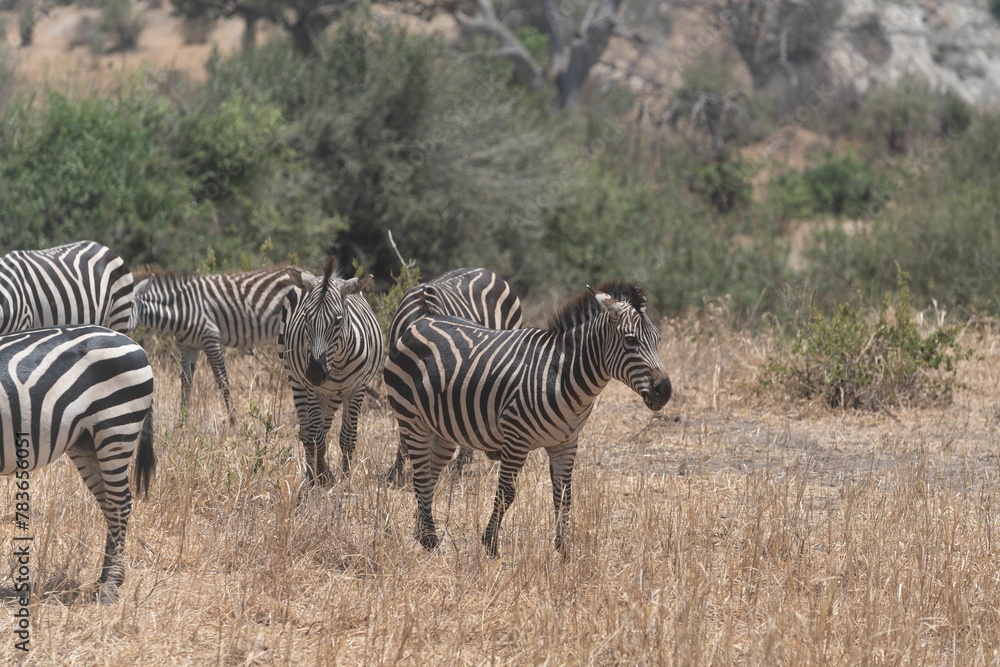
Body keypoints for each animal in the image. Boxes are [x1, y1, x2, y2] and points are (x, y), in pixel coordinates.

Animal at [0, 325, 155, 603]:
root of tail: (132, 341)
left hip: (116, 426)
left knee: (120, 503)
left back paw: (110, 587)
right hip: (85, 440)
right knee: (108, 504)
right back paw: (103, 580)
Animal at [131, 266, 302, 424]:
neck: (182, 309)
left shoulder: (211, 339)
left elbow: (222, 380)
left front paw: (234, 422)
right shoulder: (188, 346)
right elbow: (186, 382)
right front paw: (181, 423)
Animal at [278, 256, 384, 486]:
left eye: (337, 320)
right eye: (306, 318)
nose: (315, 373)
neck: (338, 362)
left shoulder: (356, 388)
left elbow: (347, 438)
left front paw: (345, 480)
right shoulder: (314, 389)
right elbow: (315, 438)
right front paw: (319, 477)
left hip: (334, 394)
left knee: (324, 428)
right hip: (296, 380)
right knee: (307, 432)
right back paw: (313, 474)